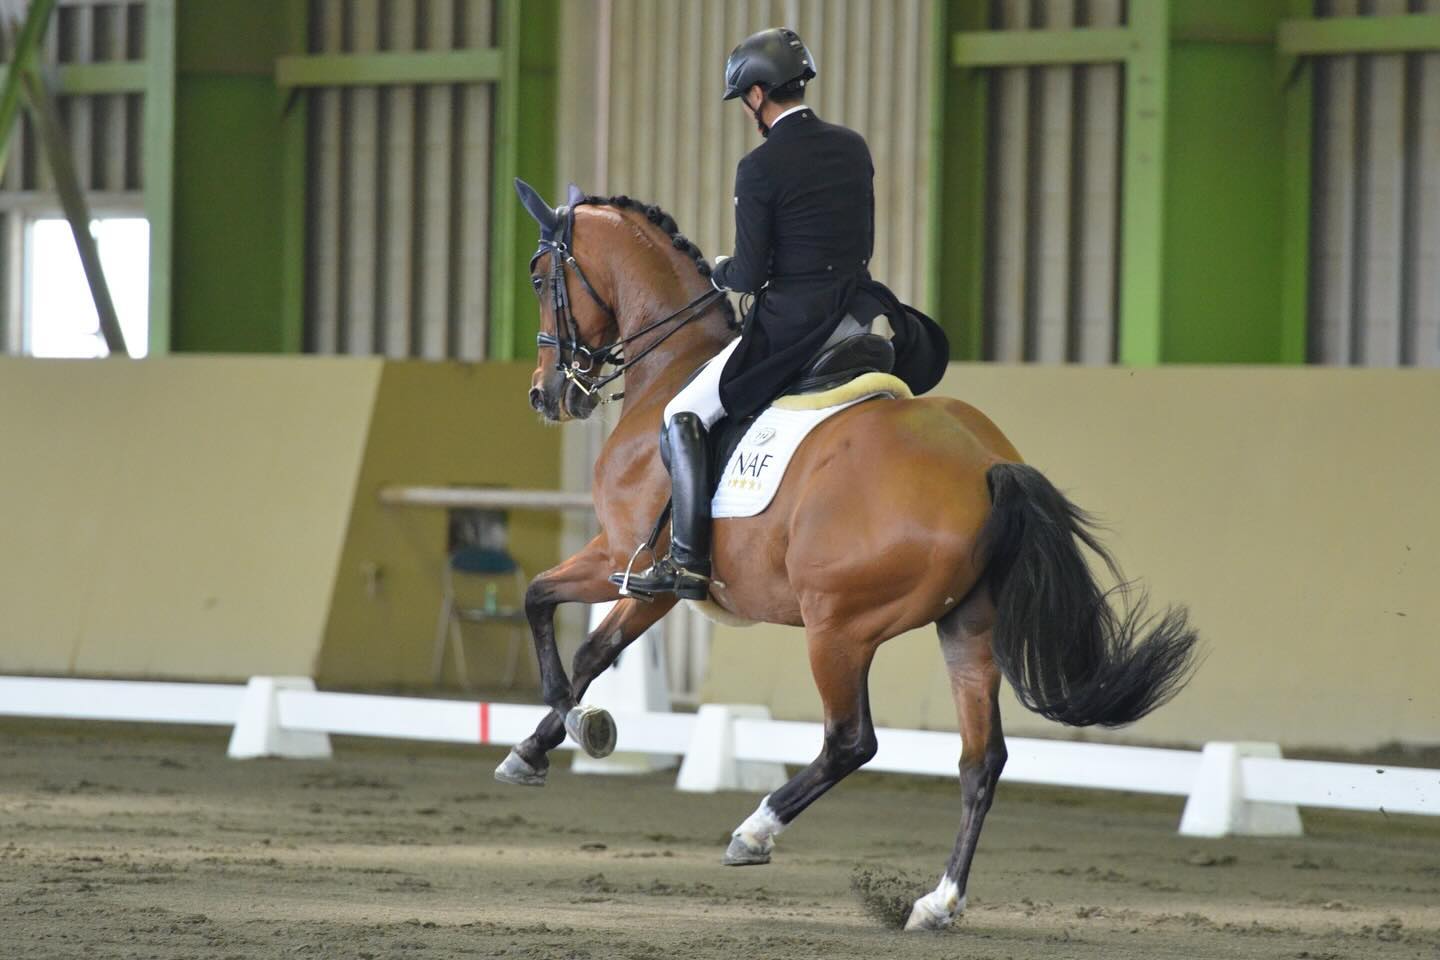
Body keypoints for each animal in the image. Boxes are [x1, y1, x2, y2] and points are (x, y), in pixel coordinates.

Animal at [495, 179, 1192, 932]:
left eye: (538, 278)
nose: (545, 394)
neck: (671, 369)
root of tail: (986, 466)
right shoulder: (646, 579)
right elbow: (590, 648)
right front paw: (541, 744)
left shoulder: (630, 559)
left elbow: (546, 609)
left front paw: (569, 727)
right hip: (967, 627)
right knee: (981, 760)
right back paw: (937, 902)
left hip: (837, 627)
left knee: (851, 741)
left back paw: (755, 832)